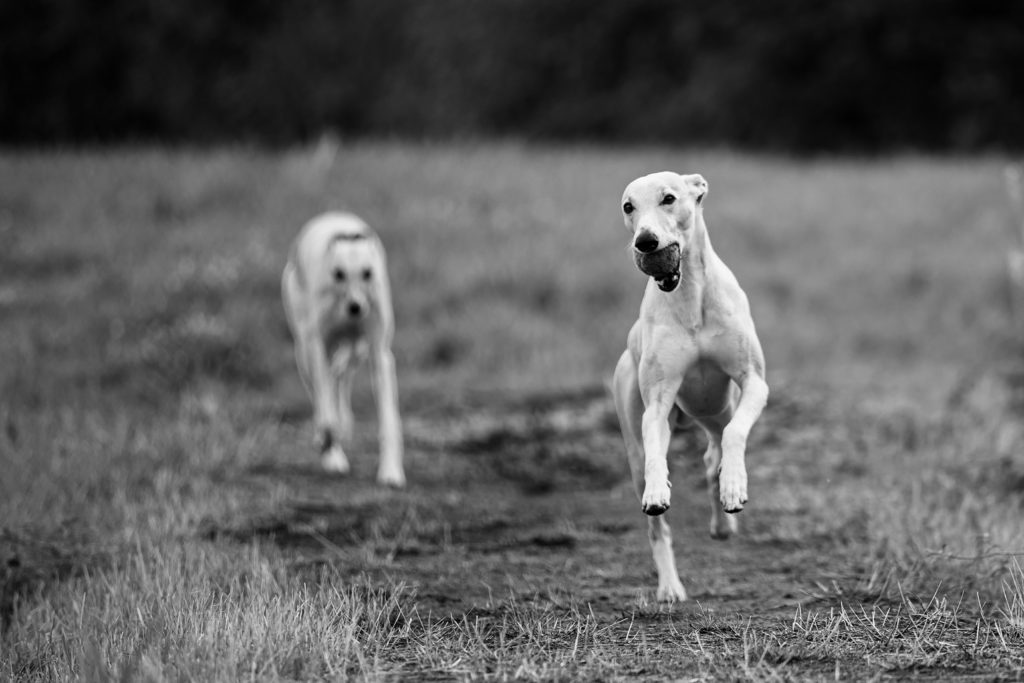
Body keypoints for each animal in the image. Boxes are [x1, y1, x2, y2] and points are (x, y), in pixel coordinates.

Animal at [284, 214, 407, 485]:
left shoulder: (380, 354)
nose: (355, 307)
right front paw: (332, 453)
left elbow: (388, 420)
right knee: (321, 390)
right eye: (338, 274)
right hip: (304, 349)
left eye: (367, 273)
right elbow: (327, 413)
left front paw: (390, 471)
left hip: (358, 348)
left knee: (341, 374)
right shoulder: (318, 347)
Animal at [606, 172, 770, 602]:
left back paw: (723, 518)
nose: (645, 241)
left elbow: (736, 435)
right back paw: (669, 586)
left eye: (669, 198)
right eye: (628, 206)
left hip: (716, 409)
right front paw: (658, 491)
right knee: (656, 525)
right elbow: (655, 450)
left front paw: (734, 487)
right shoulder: (658, 402)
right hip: (639, 432)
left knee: (716, 449)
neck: (690, 296)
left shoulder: (754, 383)